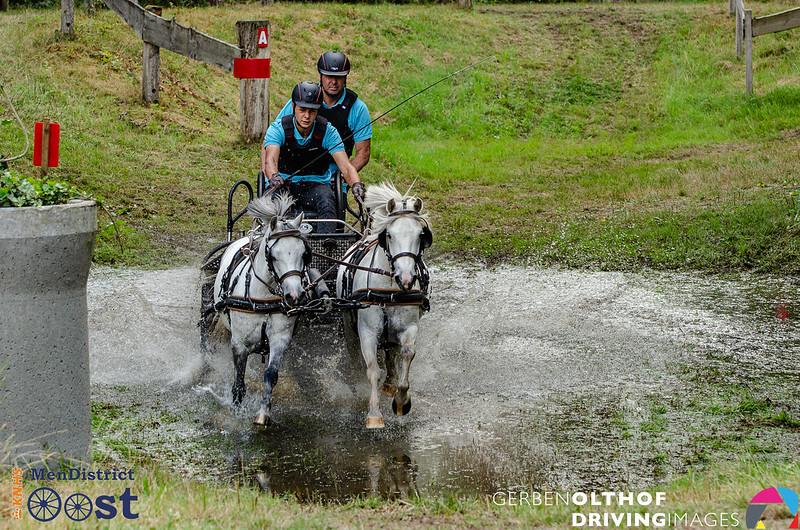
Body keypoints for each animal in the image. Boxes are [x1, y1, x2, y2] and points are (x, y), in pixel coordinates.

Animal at [211, 192, 311, 426]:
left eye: (304, 254)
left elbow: (271, 375)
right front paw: (236, 411)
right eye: (274, 255)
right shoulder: (239, 343)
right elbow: (239, 381)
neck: (263, 298)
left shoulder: (280, 339)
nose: (294, 295)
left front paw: (263, 413)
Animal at [337, 182, 432, 429]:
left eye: (421, 235)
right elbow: (372, 370)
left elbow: (406, 354)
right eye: (389, 234)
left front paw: (401, 400)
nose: (406, 278)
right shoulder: (367, 331)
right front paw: (373, 414)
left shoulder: (409, 327)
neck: (389, 288)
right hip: (348, 324)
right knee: (355, 353)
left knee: (391, 352)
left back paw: (390, 384)